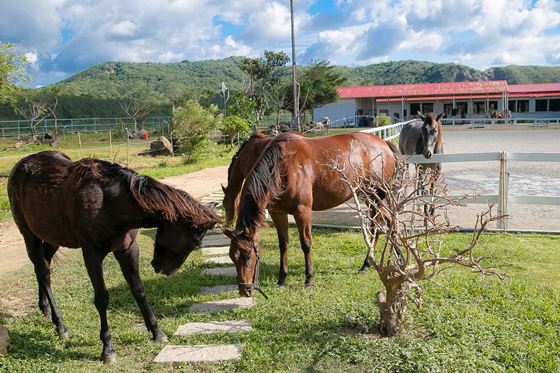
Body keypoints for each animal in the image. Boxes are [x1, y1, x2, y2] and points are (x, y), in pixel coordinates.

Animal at [9, 150, 219, 362]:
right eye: (195, 243)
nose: (164, 269)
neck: (109, 205)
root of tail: (22, 163)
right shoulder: (91, 254)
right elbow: (102, 298)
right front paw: (108, 349)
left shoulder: (128, 249)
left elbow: (138, 290)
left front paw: (157, 332)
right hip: (30, 235)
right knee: (44, 273)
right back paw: (60, 326)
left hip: (53, 237)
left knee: (43, 267)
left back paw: (44, 308)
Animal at [223, 132, 398, 294]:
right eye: (232, 256)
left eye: (248, 256)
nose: (244, 290)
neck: (283, 165)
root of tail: (384, 144)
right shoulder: (277, 212)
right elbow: (283, 244)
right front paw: (282, 278)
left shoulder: (303, 211)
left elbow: (306, 244)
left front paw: (309, 278)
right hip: (369, 196)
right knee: (389, 220)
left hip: (375, 196)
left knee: (375, 228)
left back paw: (367, 264)